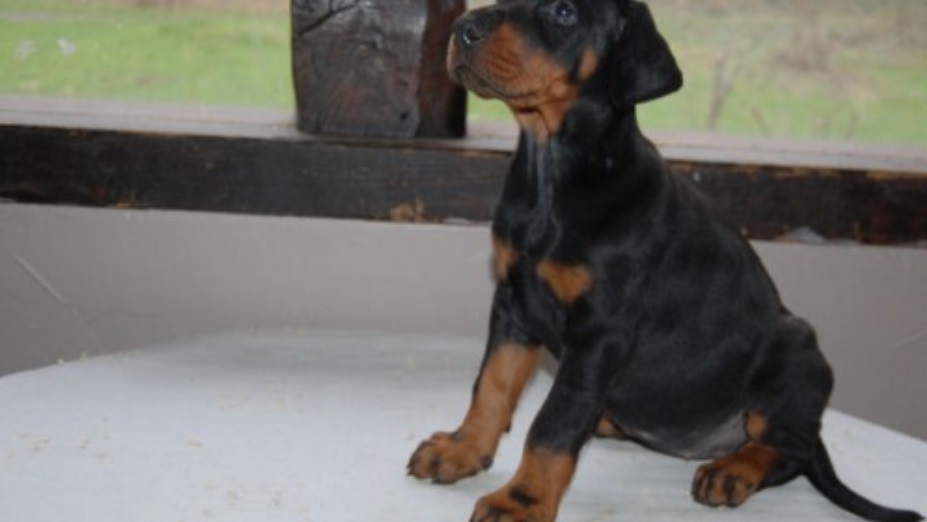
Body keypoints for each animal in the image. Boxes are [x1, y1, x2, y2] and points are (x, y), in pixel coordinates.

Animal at [407, 1, 924, 521]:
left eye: (564, 12)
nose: (463, 29)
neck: (553, 175)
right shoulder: (514, 301)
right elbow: (492, 384)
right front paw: (462, 449)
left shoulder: (600, 333)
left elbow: (553, 423)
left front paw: (522, 500)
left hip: (798, 355)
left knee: (788, 448)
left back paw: (733, 470)